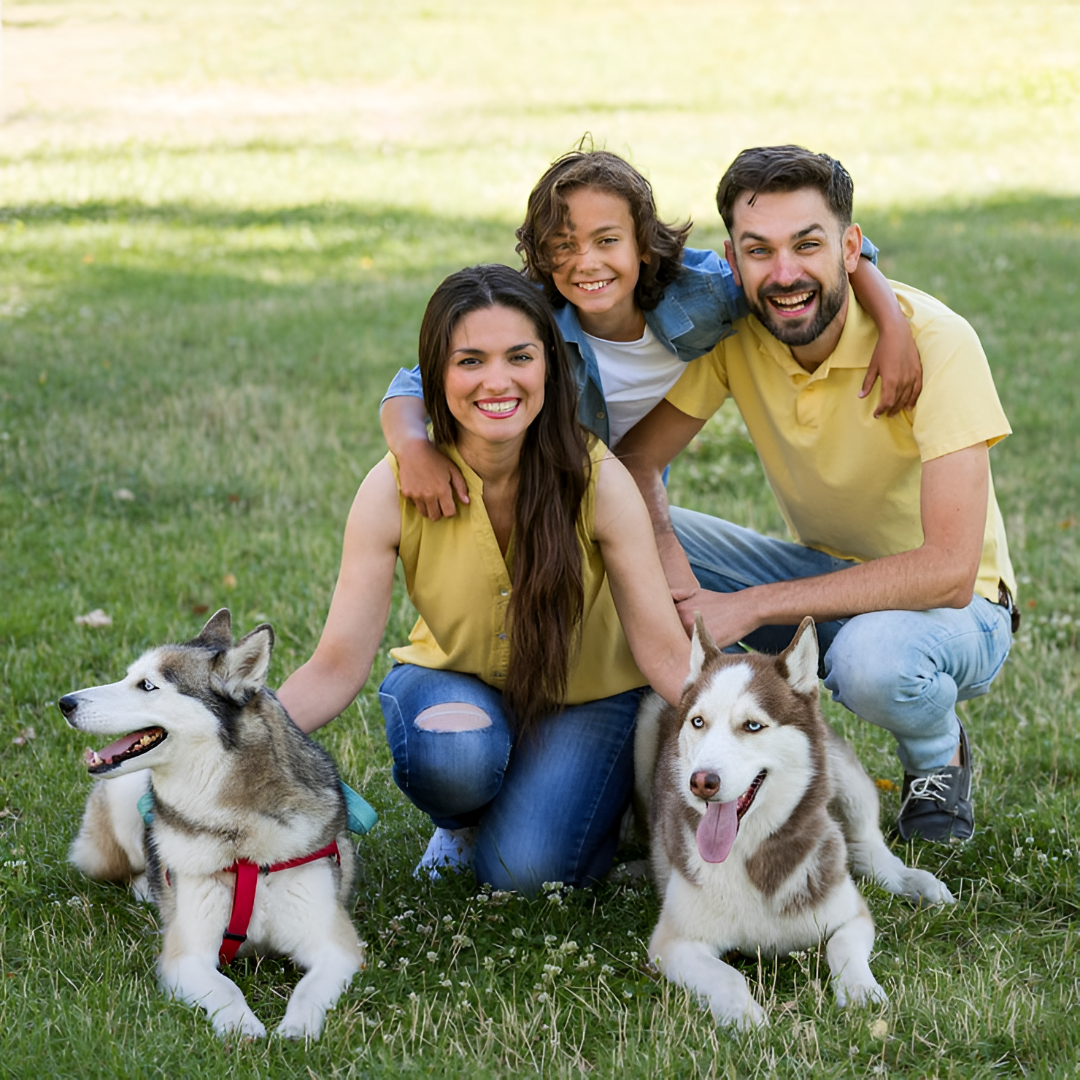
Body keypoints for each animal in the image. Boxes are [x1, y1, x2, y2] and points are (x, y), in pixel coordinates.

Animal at [61, 609, 366, 1040]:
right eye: (129, 677)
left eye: (147, 685)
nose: (64, 703)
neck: (239, 836)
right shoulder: (187, 954)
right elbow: (225, 989)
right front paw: (243, 1028)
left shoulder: (336, 946)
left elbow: (309, 990)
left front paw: (296, 1029)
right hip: (118, 810)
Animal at [634, 616, 954, 1028]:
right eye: (698, 722)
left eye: (753, 726)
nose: (702, 781)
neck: (753, 853)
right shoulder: (673, 943)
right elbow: (727, 975)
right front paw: (743, 1014)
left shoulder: (852, 915)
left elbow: (842, 946)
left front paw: (860, 991)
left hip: (839, 767)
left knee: (867, 846)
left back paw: (913, 881)